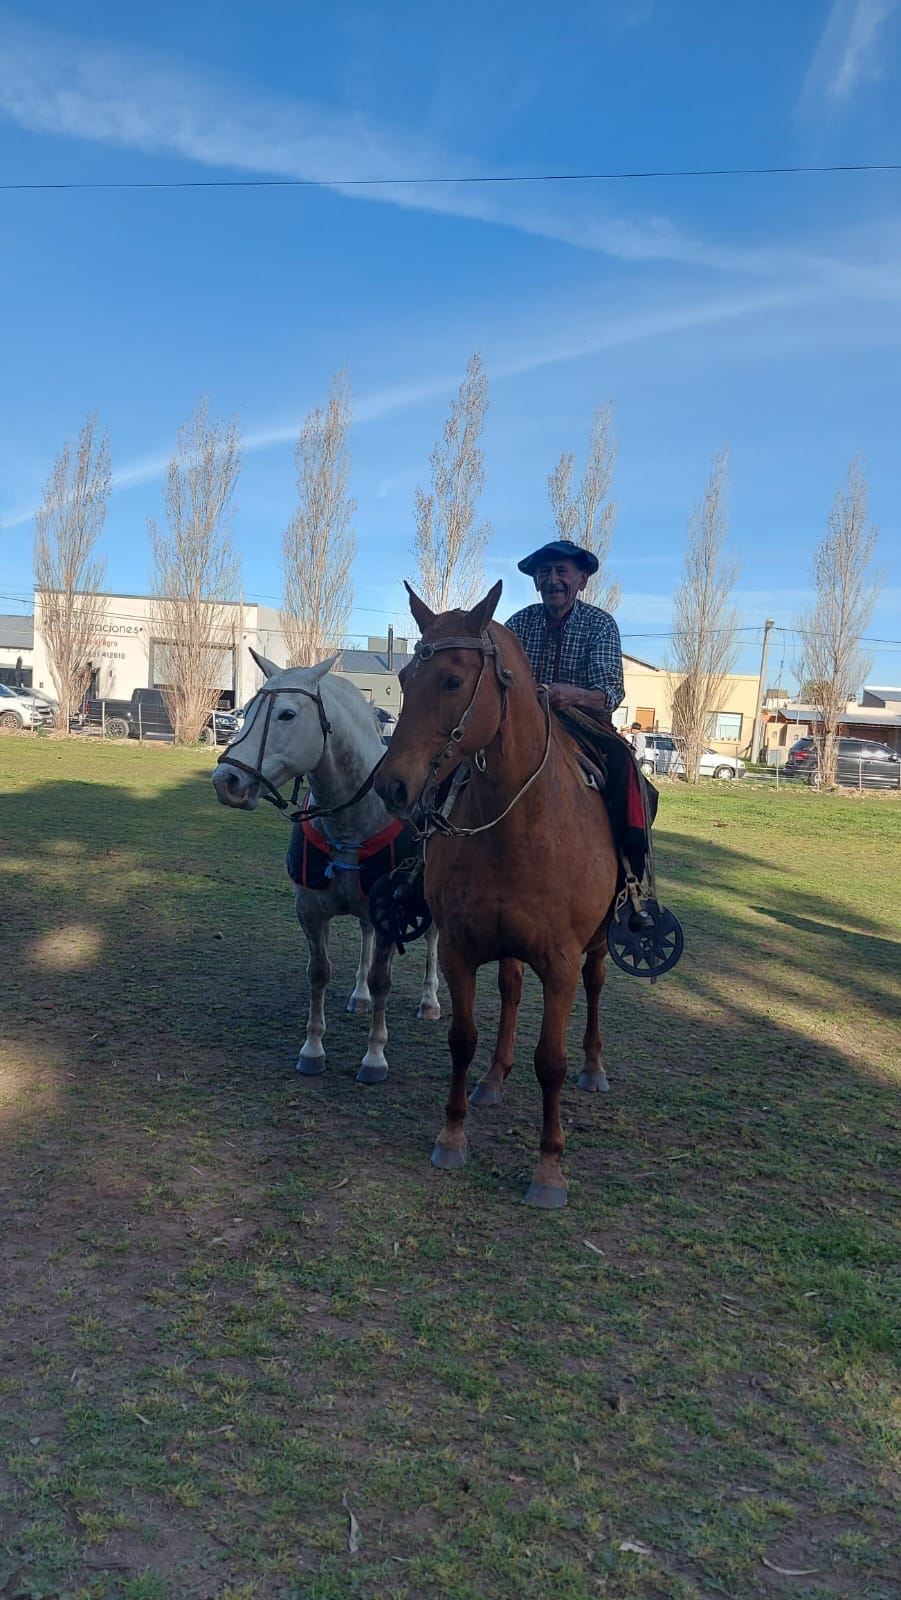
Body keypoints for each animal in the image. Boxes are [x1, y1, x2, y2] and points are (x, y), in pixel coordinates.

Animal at [211, 649, 441, 1082]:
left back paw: (430, 1000)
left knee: (434, 940)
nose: (225, 779)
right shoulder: (310, 910)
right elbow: (319, 971)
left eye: (286, 714)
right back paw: (359, 996)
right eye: (246, 711)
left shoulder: (392, 914)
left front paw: (374, 1055)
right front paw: (313, 1049)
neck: (350, 820)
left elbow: (382, 979)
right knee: (365, 935)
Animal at [374, 582, 619, 1208]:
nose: (393, 786)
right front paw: (452, 1134)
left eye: (452, 681)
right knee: (510, 989)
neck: (521, 823)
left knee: (596, 987)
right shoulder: (460, 949)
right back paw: (492, 1077)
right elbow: (462, 1039)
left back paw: (594, 1067)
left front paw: (550, 1167)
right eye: (405, 678)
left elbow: (551, 1062)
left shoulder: (560, 963)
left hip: (599, 944)